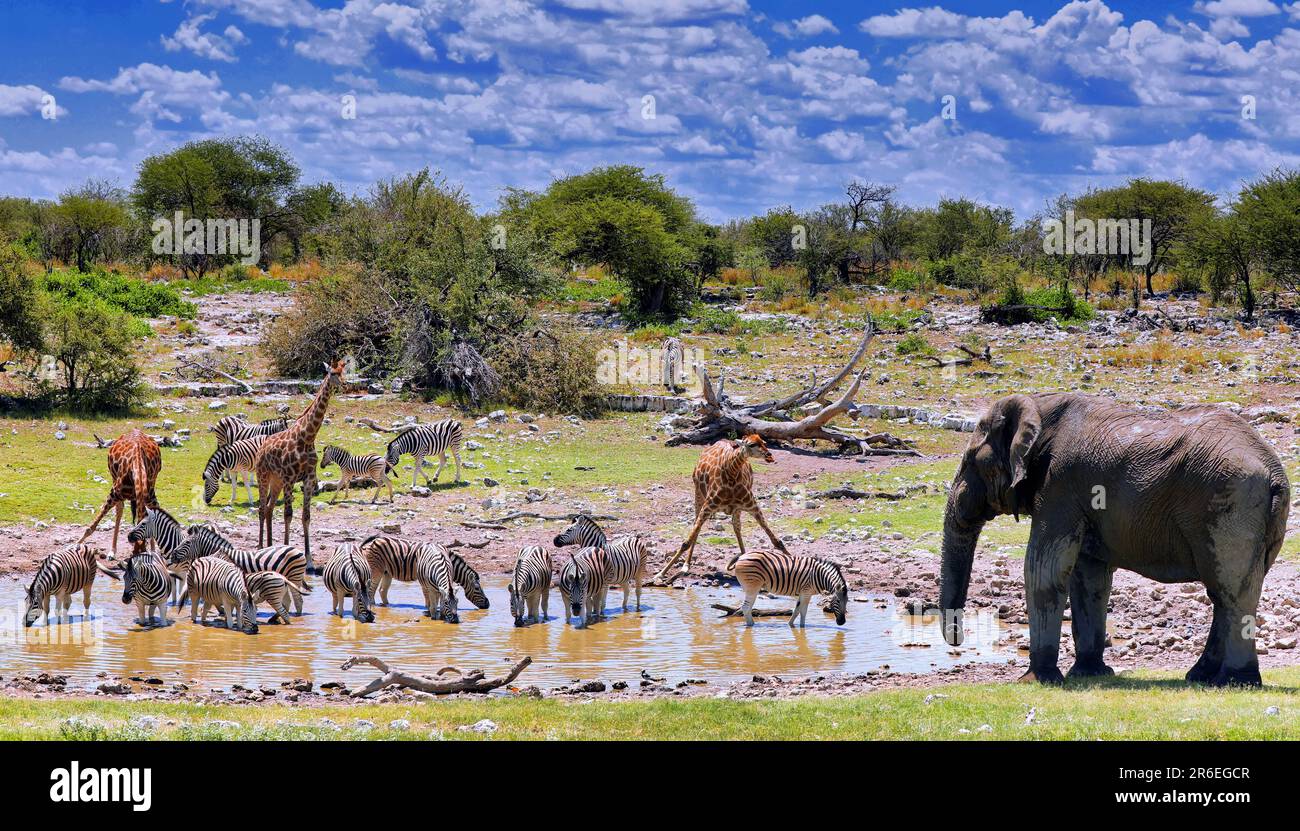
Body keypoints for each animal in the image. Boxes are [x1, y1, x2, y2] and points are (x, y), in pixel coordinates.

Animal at [79, 429, 161, 559]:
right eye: (137, 551)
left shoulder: (150, 496)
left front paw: (153, 552)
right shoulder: (114, 493)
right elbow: (91, 527)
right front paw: (74, 545)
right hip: (115, 482)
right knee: (120, 509)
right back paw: (112, 551)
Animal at [253, 361, 343, 574]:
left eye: (343, 372)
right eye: (332, 373)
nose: (344, 384)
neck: (307, 437)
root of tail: (261, 449)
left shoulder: (308, 479)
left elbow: (305, 517)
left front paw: (309, 562)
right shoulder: (289, 478)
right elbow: (288, 515)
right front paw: (287, 552)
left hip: (276, 481)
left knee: (269, 508)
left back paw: (270, 546)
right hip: (263, 476)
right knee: (261, 508)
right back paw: (260, 547)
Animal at [655, 431, 785, 582]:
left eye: (764, 442)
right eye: (752, 444)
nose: (769, 455)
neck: (731, 474)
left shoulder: (751, 505)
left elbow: (777, 541)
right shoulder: (708, 506)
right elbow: (686, 542)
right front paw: (661, 573)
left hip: (737, 508)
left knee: (736, 527)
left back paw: (741, 558)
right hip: (698, 495)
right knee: (697, 527)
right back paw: (686, 565)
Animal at [935, 392, 1289, 686]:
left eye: (970, 461)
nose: (958, 641)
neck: (1039, 405)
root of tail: (1273, 470)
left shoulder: (1060, 486)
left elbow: (1044, 569)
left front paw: (1036, 680)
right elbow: (1090, 579)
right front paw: (1088, 674)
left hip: (1230, 501)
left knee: (1232, 591)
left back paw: (1236, 681)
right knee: (1224, 592)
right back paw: (1201, 677)